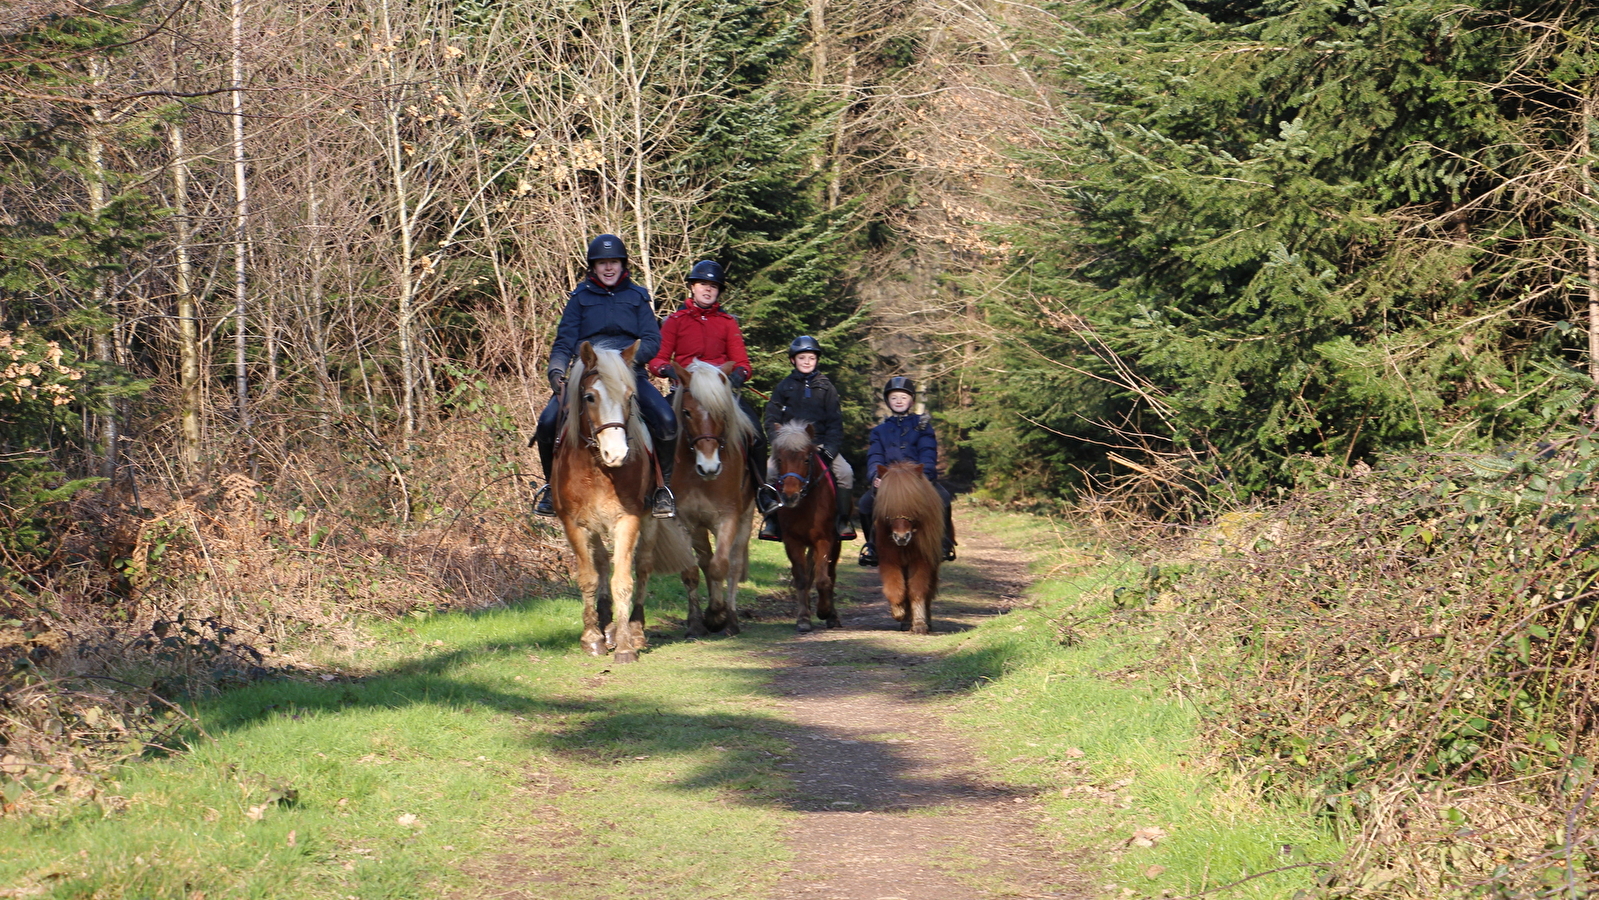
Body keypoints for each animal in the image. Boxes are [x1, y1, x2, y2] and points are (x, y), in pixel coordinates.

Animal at [550, 338, 693, 661]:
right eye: (589, 397)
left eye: (630, 397)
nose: (616, 455)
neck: (597, 468)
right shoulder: (574, 524)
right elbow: (589, 577)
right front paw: (592, 637)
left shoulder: (627, 519)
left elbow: (623, 581)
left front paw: (626, 645)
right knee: (602, 563)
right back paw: (606, 626)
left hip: (650, 520)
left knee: (643, 566)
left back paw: (635, 630)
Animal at [668, 359, 754, 639]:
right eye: (686, 412)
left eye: (723, 412)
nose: (710, 468)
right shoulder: (683, 521)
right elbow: (692, 571)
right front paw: (696, 623)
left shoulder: (728, 518)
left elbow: (721, 567)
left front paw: (717, 615)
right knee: (705, 560)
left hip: (745, 519)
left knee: (733, 564)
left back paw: (731, 619)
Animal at [770, 422, 844, 633]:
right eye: (779, 458)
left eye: (805, 459)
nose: (790, 497)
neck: (805, 503)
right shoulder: (792, 541)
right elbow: (802, 578)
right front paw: (803, 618)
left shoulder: (825, 539)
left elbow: (823, 579)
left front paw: (824, 611)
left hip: (836, 544)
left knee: (831, 574)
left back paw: (832, 617)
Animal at [869, 463, 940, 633]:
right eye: (887, 508)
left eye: (913, 505)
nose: (901, 537)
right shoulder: (889, 560)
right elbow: (894, 587)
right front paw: (898, 612)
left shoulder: (921, 560)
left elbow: (917, 590)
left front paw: (920, 623)